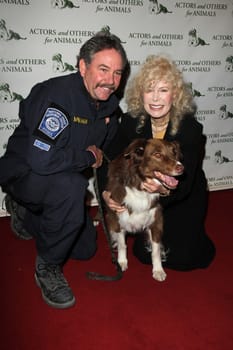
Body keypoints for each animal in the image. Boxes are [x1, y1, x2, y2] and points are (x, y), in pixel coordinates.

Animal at [105, 137, 184, 282]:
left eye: (174, 152)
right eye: (157, 154)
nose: (181, 167)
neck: (141, 186)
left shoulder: (156, 222)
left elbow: (156, 250)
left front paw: (158, 270)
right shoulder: (119, 219)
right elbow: (122, 244)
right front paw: (122, 261)